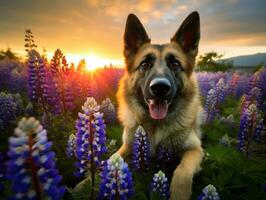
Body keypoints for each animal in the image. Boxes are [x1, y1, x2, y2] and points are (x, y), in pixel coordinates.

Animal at [116, 11, 204, 199]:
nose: (160, 87)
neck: (155, 125)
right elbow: (111, 159)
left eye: (176, 64)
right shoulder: (128, 146)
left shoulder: (195, 150)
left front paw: (179, 193)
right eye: (144, 64)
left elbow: (183, 171)